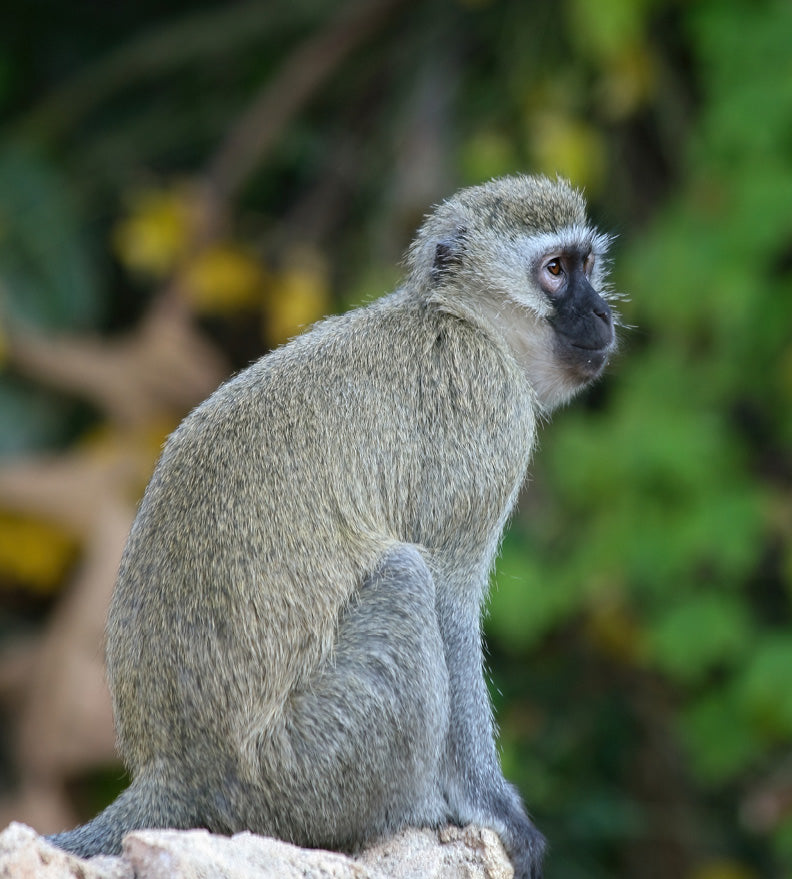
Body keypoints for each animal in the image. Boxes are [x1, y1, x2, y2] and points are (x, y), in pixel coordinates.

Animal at [48, 174, 620, 879]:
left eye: (587, 265)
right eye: (555, 271)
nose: (602, 314)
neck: (461, 322)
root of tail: (179, 772)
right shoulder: (487, 417)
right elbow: (450, 605)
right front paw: (498, 813)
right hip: (305, 767)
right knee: (406, 578)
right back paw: (406, 813)